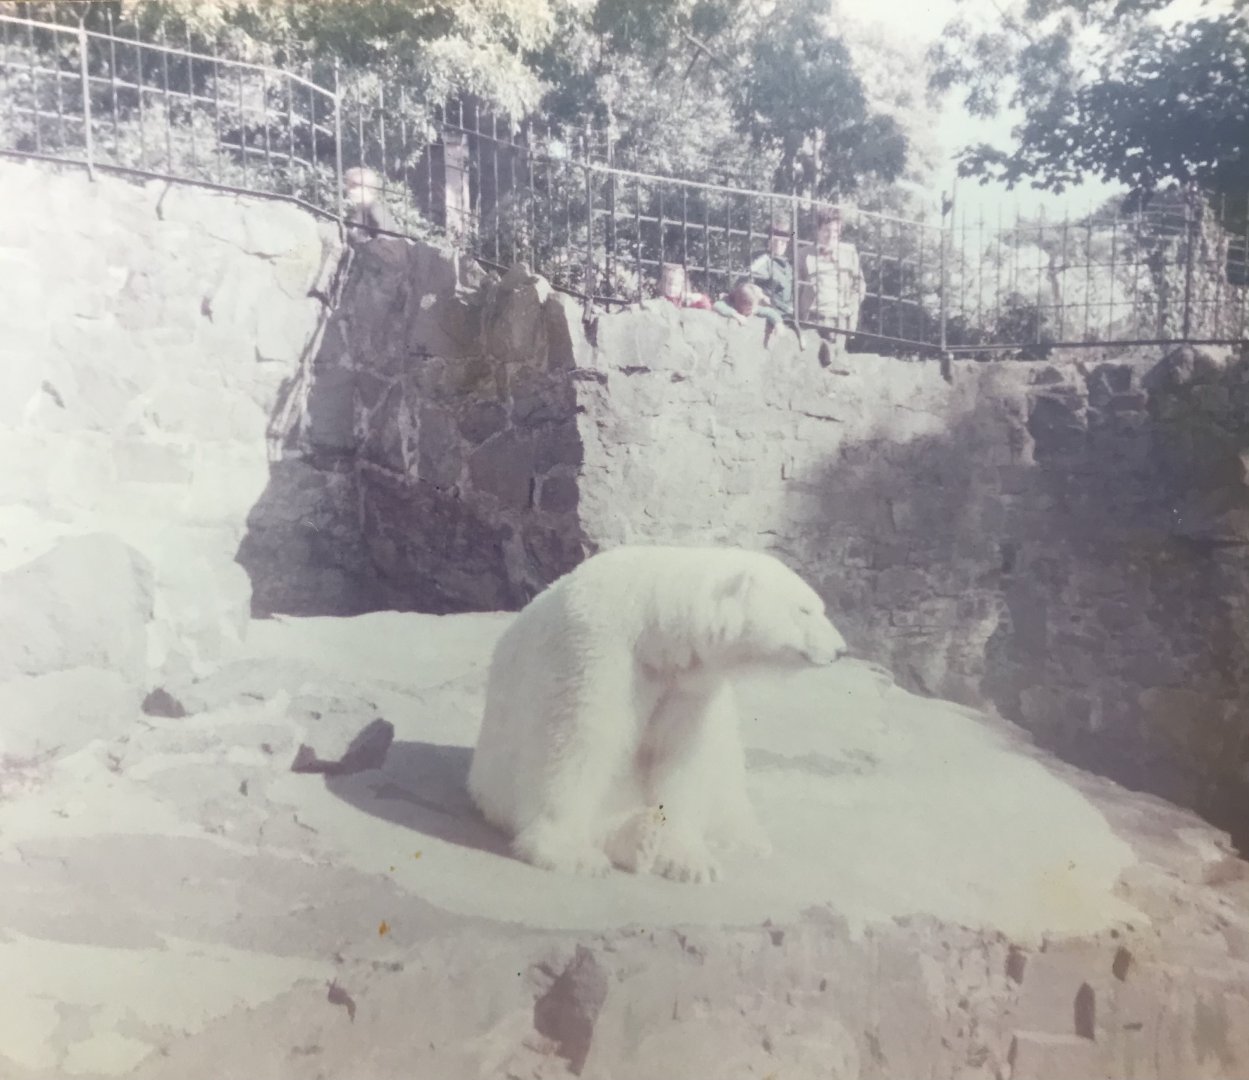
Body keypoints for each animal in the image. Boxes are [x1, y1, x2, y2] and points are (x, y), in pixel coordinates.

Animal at [466, 545, 848, 884]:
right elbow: (579, 741)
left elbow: (681, 757)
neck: (653, 631)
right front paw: (570, 854)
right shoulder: (598, 650)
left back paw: (741, 837)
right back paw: (636, 836)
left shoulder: (690, 686)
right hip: (494, 788)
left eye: (820, 608)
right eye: (804, 611)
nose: (841, 649)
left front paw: (688, 861)